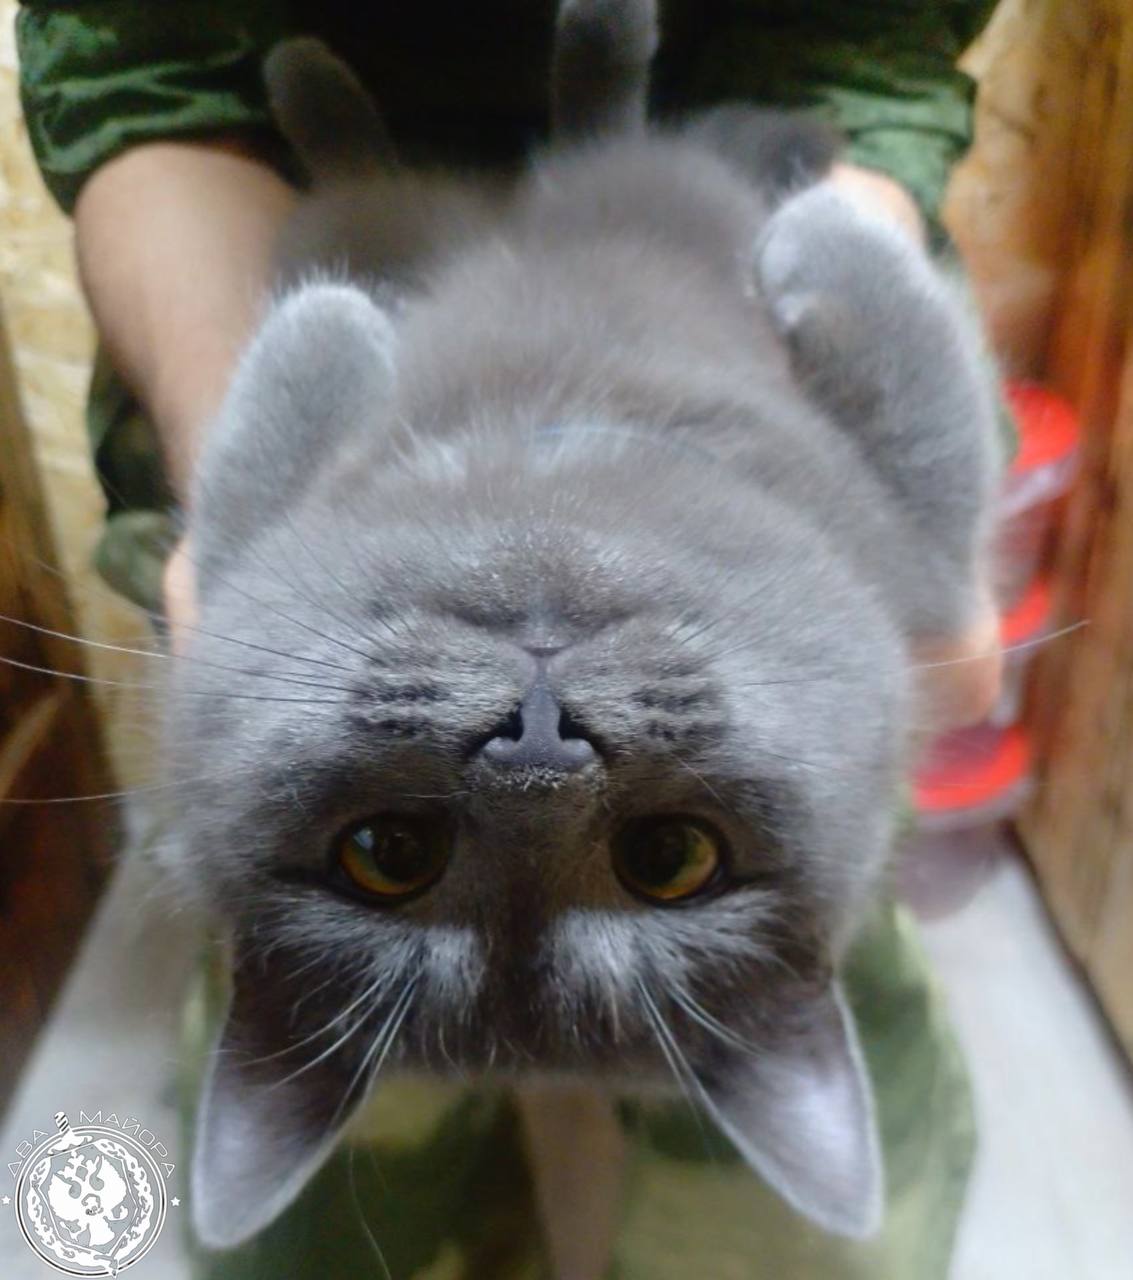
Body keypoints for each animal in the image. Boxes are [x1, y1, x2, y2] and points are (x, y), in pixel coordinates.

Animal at [162, 0, 1000, 1266]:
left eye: (670, 857)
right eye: (388, 851)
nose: (534, 747)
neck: (555, 471)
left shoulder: (922, 560)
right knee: (409, 176)